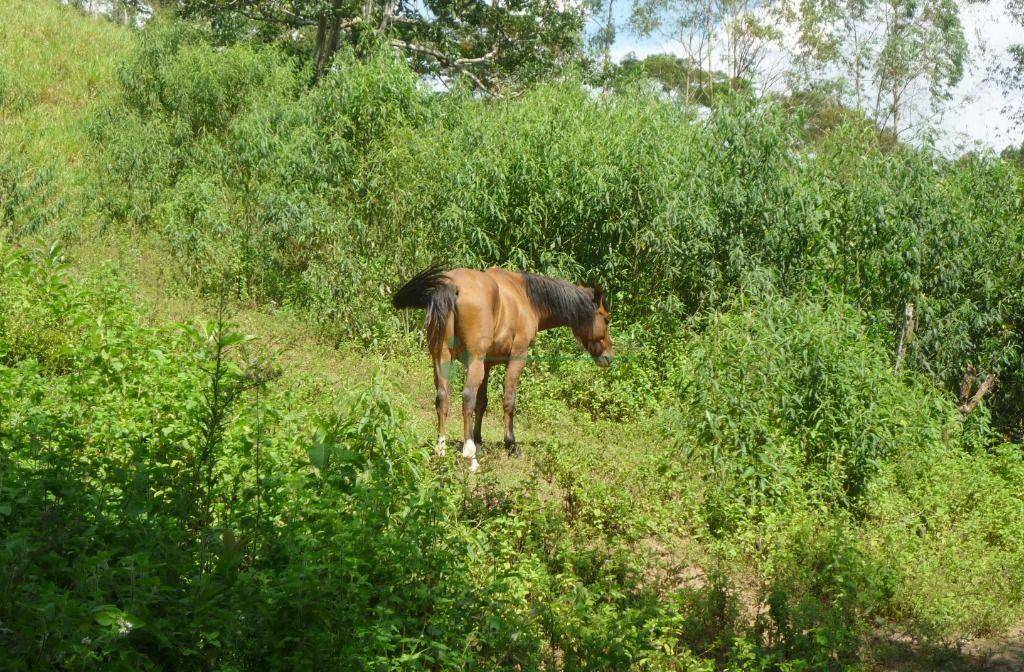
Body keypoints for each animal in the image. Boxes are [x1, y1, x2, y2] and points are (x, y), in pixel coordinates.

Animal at [393, 266, 610, 473]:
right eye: (606, 319)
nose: (608, 356)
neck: (525, 297)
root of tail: (451, 286)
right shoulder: (516, 358)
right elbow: (508, 400)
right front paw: (511, 444)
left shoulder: (487, 364)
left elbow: (482, 402)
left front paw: (479, 441)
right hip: (473, 361)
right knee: (467, 398)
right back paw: (470, 456)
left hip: (442, 358)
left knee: (442, 398)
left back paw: (441, 450)